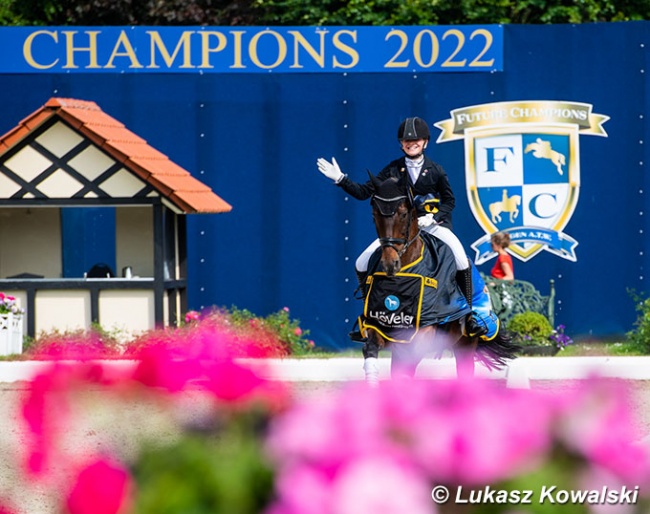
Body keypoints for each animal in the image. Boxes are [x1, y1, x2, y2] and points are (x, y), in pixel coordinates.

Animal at [356, 174, 512, 382]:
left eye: (403, 214)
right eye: (375, 216)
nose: (390, 264)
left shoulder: (424, 332)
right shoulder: (381, 325)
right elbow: (372, 349)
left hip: (466, 344)